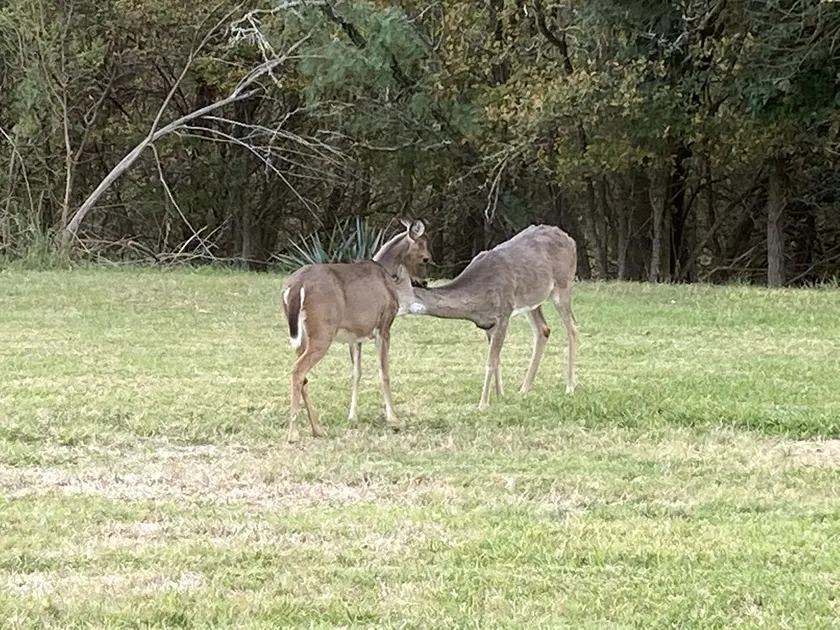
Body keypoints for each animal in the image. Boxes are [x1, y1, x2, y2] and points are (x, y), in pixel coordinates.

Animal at [280, 219, 431, 443]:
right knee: (298, 370)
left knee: (302, 374)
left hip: (302, 337)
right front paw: (393, 418)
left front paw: (352, 417)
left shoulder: (355, 335)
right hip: (322, 332)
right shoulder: (384, 326)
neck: (386, 272)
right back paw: (293, 433)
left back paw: (318, 429)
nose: (424, 282)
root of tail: (295, 286)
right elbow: (384, 372)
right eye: (425, 258)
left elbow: (356, 373)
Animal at [405, 224, 578, 410]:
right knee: (543, 330)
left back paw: (570, 386)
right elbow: (497, 360)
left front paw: (483, 404)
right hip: (533, 299)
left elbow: (491, 361)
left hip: (564, 284)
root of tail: (570, 239)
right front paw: (500, 395)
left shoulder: (504, 314)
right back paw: (524, 389)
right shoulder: (488, 324)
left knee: (572, 327)